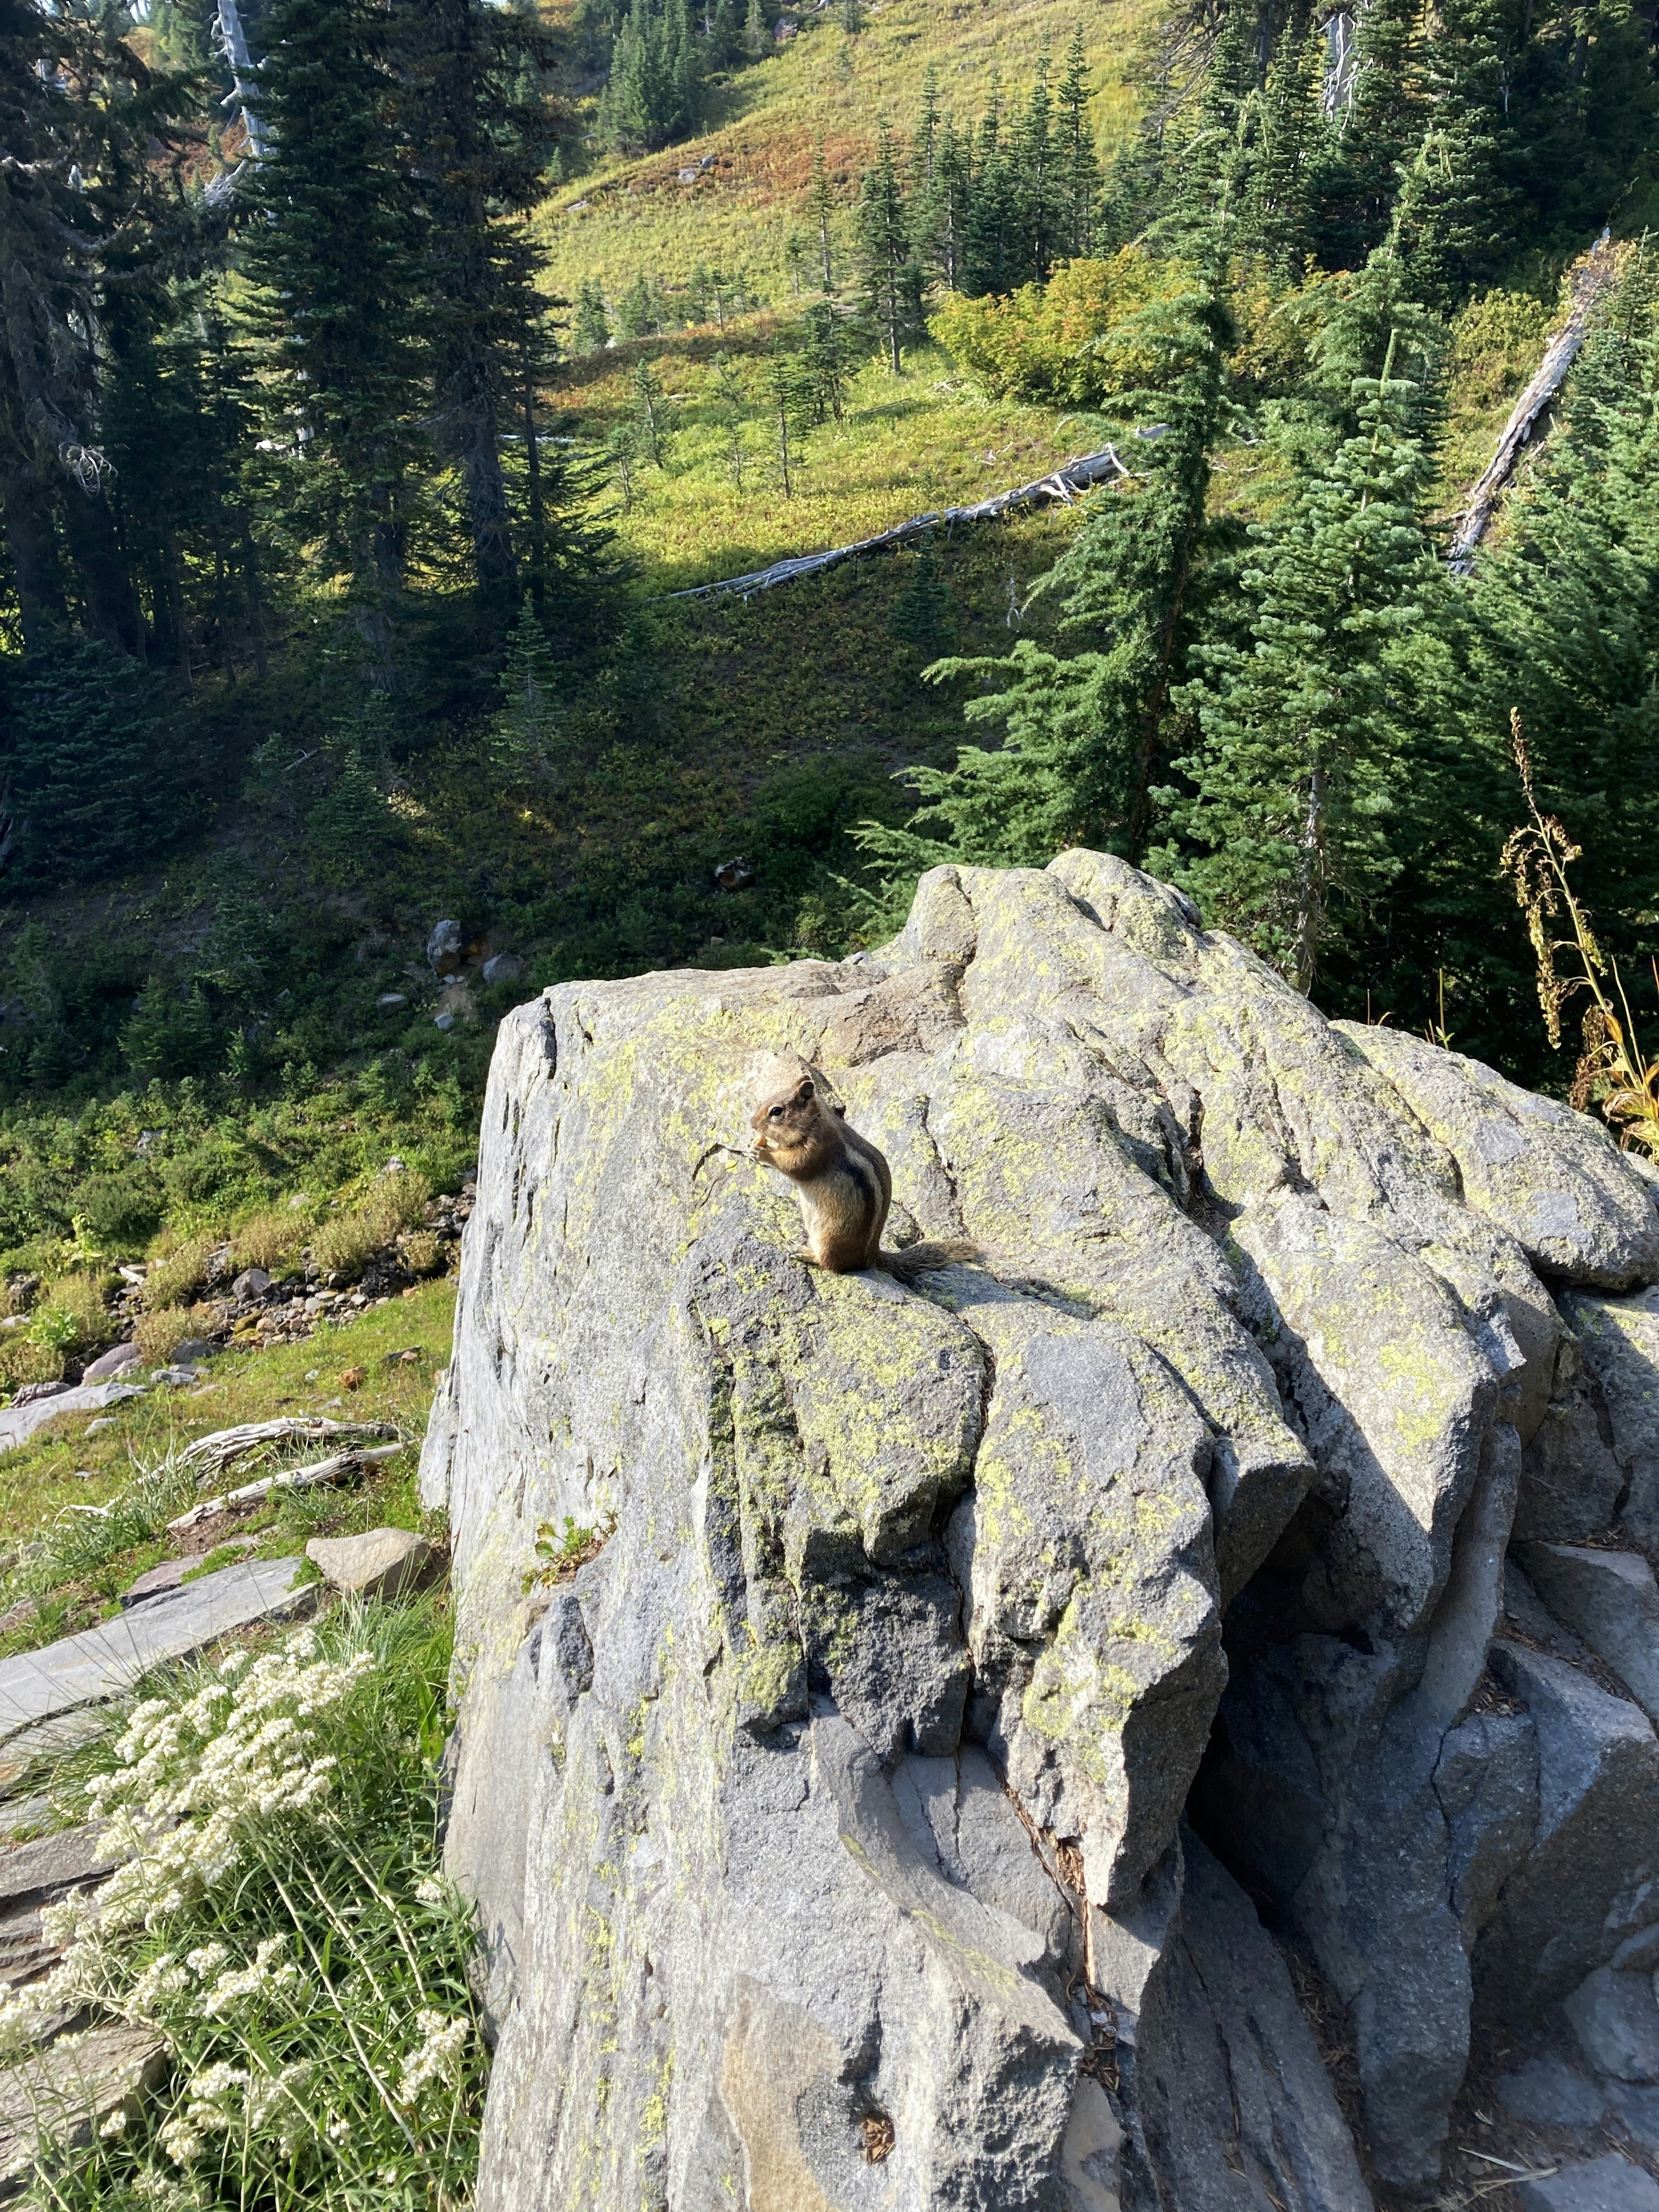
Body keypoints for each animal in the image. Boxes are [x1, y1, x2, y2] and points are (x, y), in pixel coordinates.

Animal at [750, 1066, 978, 1281]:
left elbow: (796, 1166)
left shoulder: (818, 1148)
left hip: (830, 1239)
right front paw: (754, 1145)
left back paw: (806, 1253)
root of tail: (870, 1257)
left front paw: (763, 1152)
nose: (752, 1123)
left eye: (776, 1111)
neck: (816, 1119)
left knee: (830, 1264)